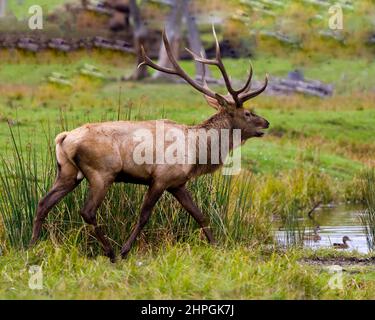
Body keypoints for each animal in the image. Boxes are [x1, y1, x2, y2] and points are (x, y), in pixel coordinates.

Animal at [30, 26, 270, 262]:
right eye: (248, 113)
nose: (266, 122)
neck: (197, 153)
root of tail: (64, 138)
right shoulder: (160, 178)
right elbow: (144, 216)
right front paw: (125, 250)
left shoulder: (177, 183)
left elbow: (199, 215)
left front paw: (217, 246)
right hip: (102, 173)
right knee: (86, 211)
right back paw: (111, 252)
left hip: (67, 172)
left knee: (43, 203)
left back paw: (31, 246)